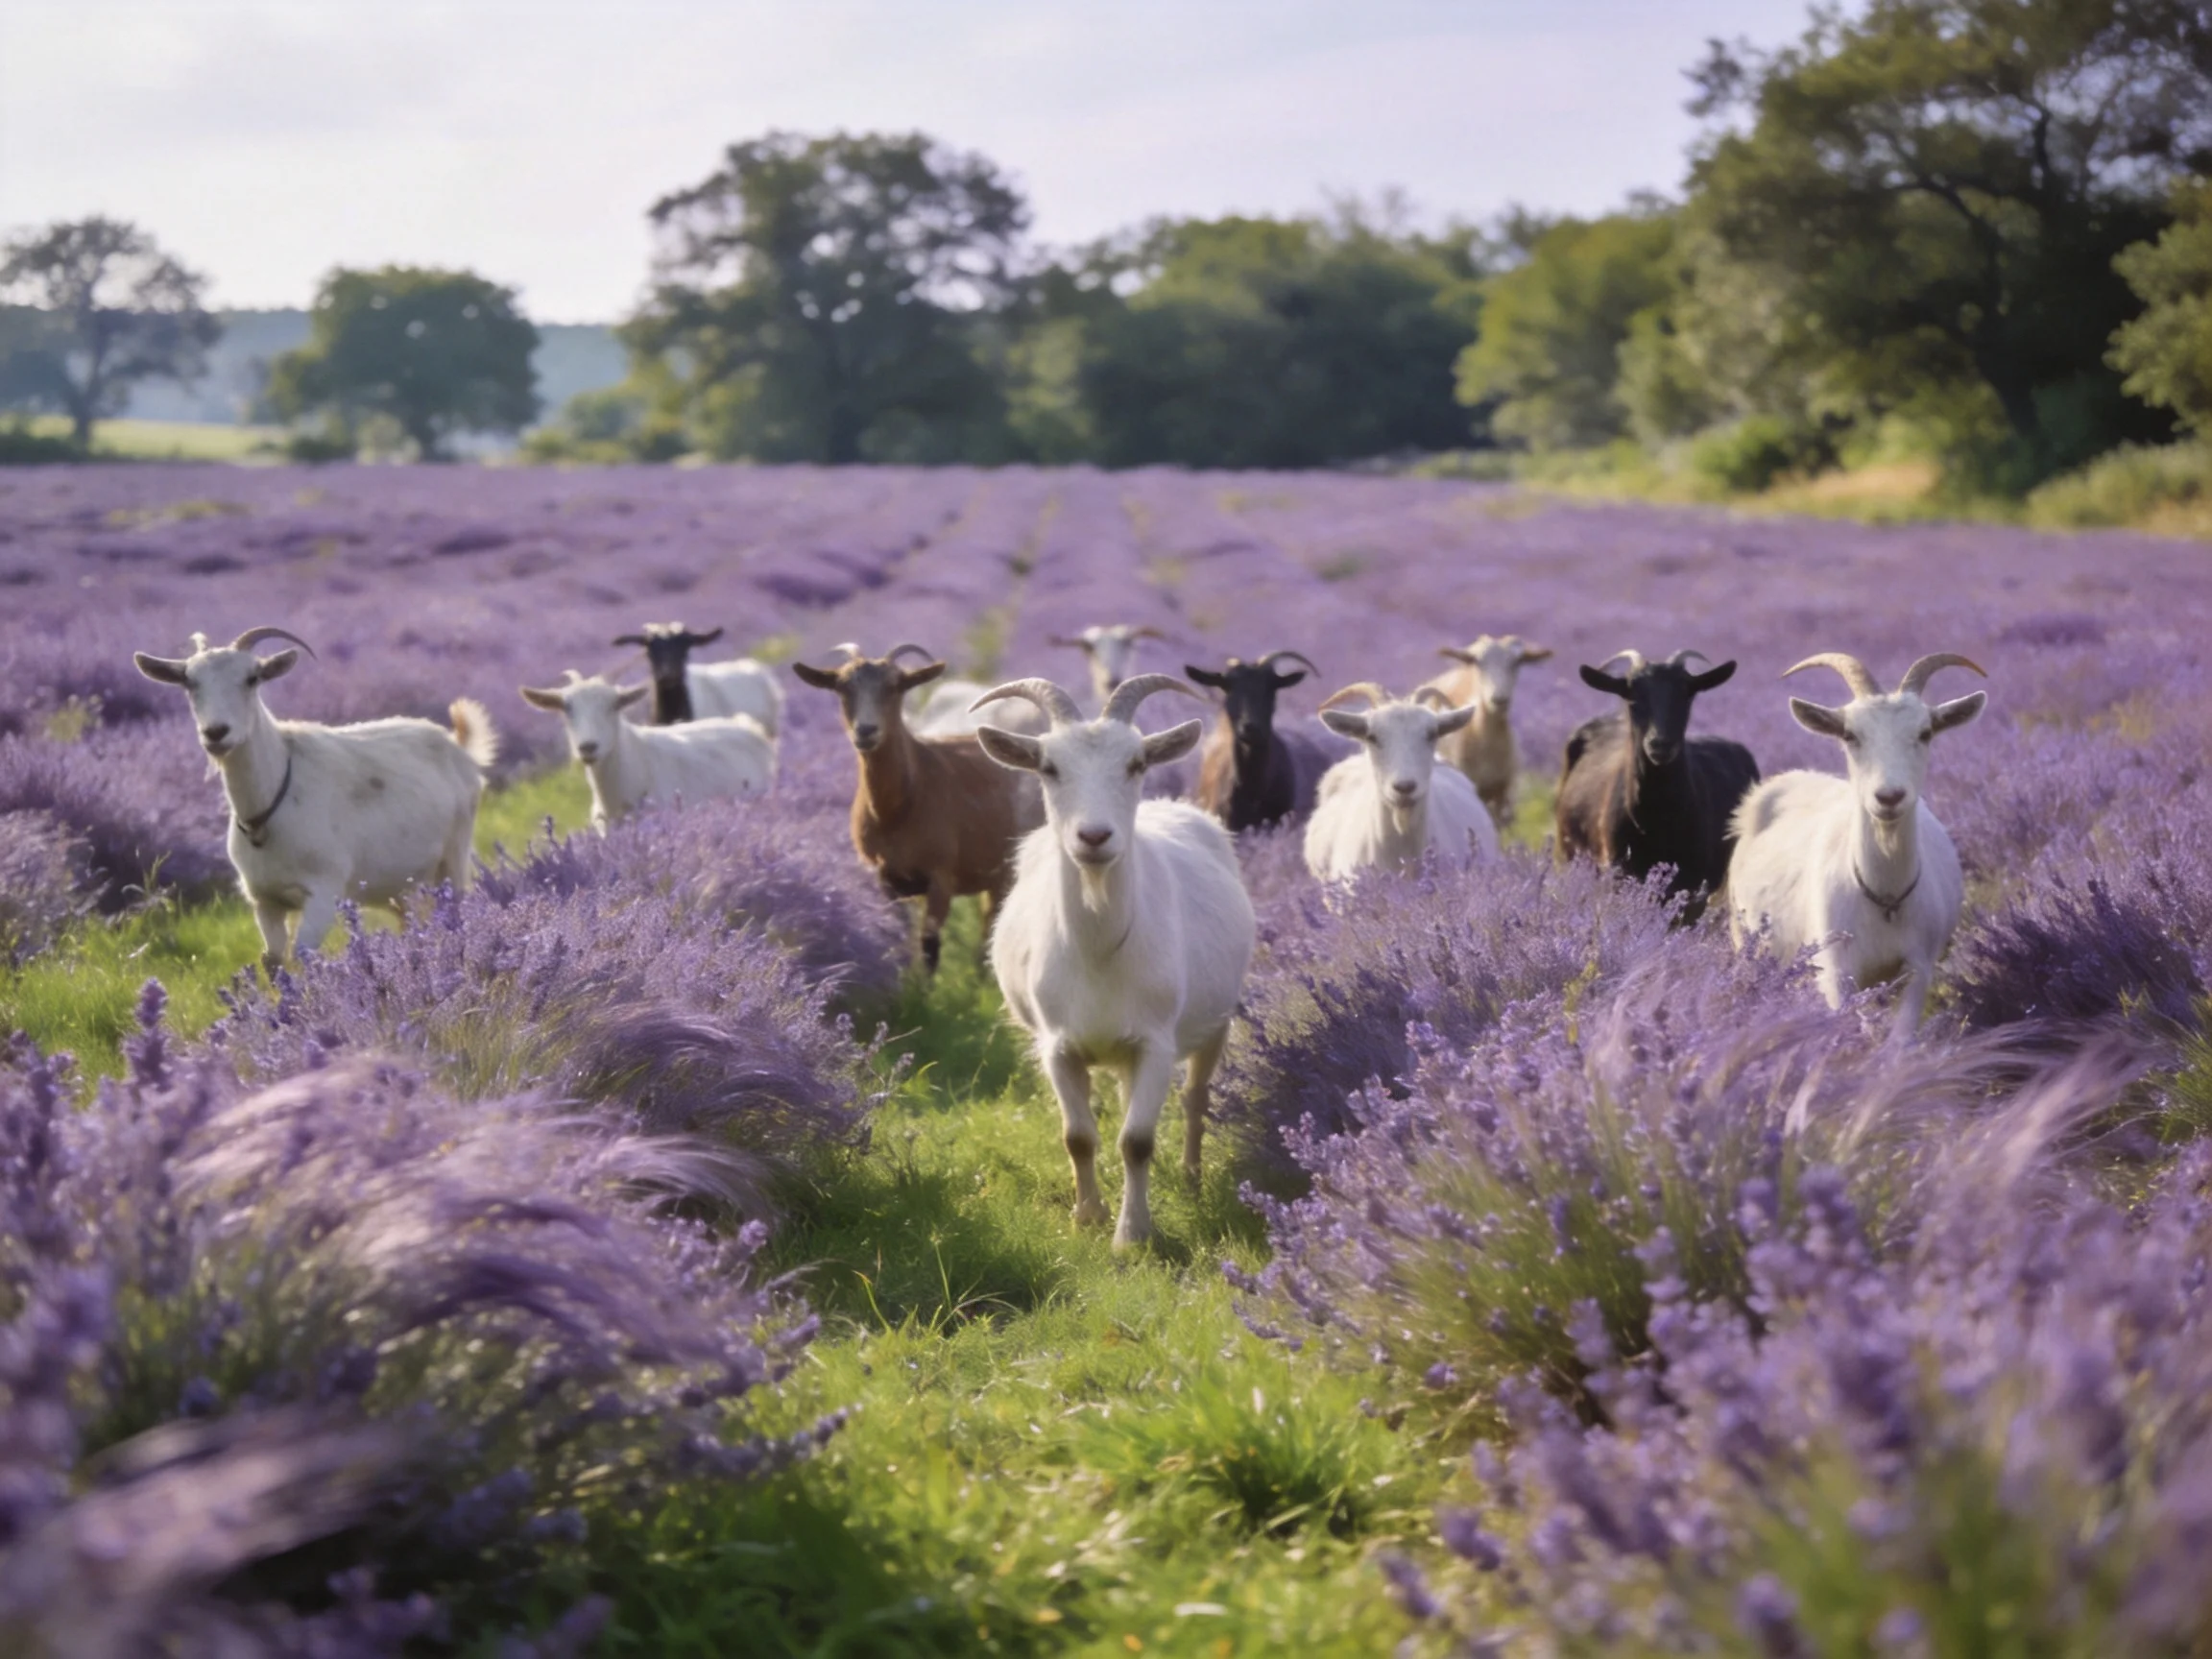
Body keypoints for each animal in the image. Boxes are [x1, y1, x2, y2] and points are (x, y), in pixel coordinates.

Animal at [134, 626, 495, 972]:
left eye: (252, 678)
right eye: (189, 682)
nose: (216, 733)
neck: (268, 807)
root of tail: (457, 745)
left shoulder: (323, 892)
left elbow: (304, 956)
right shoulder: (264, 900)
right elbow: (274, 961)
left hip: (454, 858)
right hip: (403, 885)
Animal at [793, 643, 1044, 972]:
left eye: (896, 686)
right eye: (842, 687)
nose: (866, 731)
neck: (897, 809)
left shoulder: (941, 876)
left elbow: (929, 946)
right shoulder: (887, 878)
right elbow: (902, 937)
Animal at [973, 674, 1254, 1249]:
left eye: (1136, 763)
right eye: (1048, 767)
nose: (1094, 837)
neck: (1100, 951)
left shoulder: (1155, 1041)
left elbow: (1137, 1140)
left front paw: (1132, 1235)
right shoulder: (1057, 1045)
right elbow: (1078, 1136)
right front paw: (1087, 1216)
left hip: (1214, 1021)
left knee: (1195, 1098)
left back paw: (1191, 1178)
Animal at [1553, 649, 1759, 917]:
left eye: (1686, 694)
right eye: (1632, 698)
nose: (1660, 744)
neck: (1658, 821)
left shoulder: (1693, 882)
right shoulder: (1619, 871)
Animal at [1727, 652, 1988, 1039]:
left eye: (1925, 733)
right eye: (1850, 735)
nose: (1889, 796)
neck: (1885, 899)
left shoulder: (1918, 967)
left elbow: (1900, 1040)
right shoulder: (1836, 972)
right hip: (1746, 942)